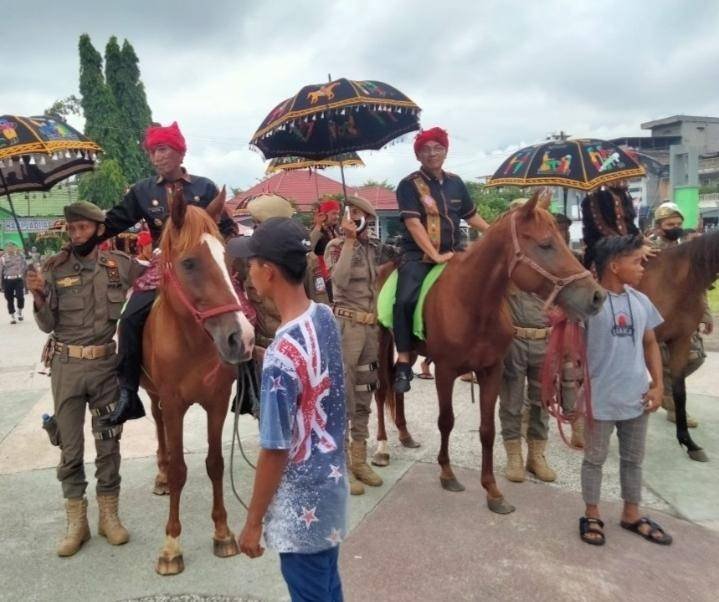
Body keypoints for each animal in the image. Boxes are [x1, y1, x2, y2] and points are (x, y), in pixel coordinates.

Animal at [142, 190, 255, 576]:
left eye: (227, 258)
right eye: (190, 263)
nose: (241, 338)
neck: (192, 343)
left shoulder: (218, 401)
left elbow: (215, 463)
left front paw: (222, 533)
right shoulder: (174, 404)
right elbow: (179, 469)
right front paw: (171, 546)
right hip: (153, 395)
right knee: (158, 426)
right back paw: (160, 476)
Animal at [376, 195, 608, 512]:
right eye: (546, 244)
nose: (597, 297)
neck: (472, 303)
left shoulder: (492, 371)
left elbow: (487, 430)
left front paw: (493, 491)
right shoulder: (445, 372)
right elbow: (446, 421)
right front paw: (447, 473)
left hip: (408, 351)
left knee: (398, 387)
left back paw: (405, 434)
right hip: (381, 340)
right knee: (381, 390)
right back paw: (381, 447)